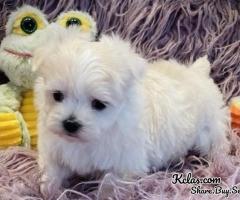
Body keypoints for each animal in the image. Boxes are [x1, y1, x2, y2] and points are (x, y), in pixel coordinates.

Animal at [32, 28, 230, 192]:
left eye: (98, 104)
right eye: (57, 95)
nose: (70, 124)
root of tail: (196, 73)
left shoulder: (124, 164)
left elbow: (110, 186)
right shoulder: (53, 147)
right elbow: (50, 171)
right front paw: (49, 190)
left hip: (209, 129)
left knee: (219, 144)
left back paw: (222, 165)